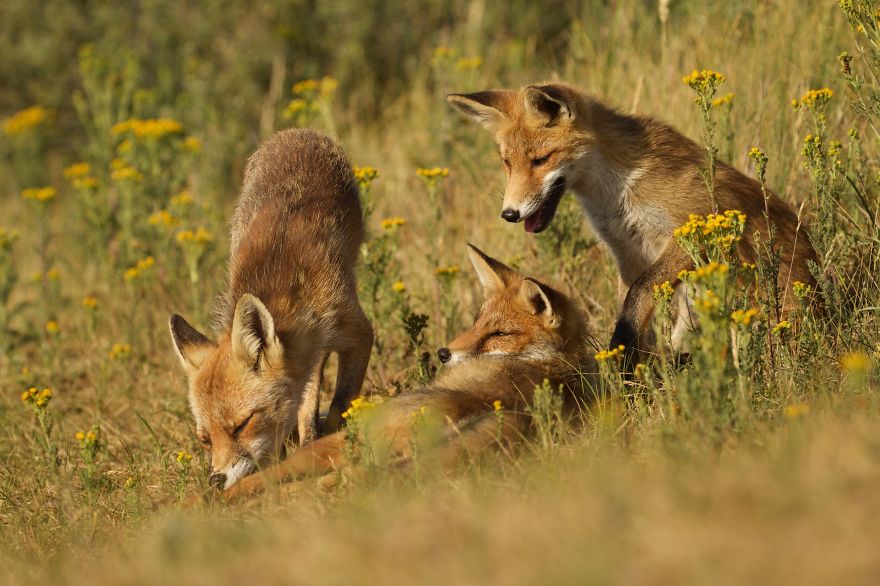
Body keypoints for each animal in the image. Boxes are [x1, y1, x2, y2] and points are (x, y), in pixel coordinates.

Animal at [168, 128, 373, 491]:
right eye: (205, 440)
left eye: (242, 425)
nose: (216, 481)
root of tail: (295, 133)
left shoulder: (357, 331)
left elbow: (340, 403)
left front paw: (330, 443)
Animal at [210, 244, 596, 501]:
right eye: (478, 322)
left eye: (499, 334)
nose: (443, 353)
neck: (549, 363)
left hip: (337, 443)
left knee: (263, 482)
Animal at [446, 83, 817, 360]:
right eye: (507, 163)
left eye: (541, 159)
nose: (510, 214)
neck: (616, 194)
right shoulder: (627, 250)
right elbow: (637, 304)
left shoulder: (691, 229)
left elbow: (637, 295)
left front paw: (624, 353)